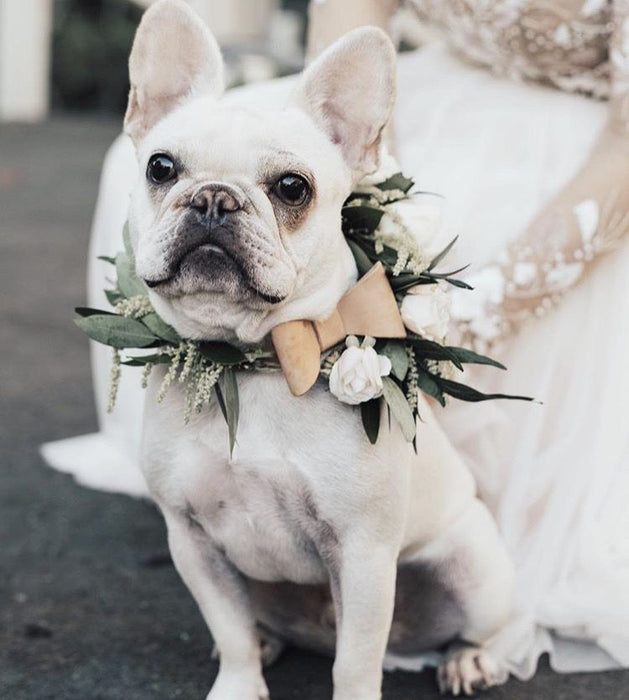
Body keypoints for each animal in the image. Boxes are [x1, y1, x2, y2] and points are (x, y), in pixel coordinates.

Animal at [124, 1, 516, 700]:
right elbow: (227, 628)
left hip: (473, 569)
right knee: (254, 623)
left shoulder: (362, 553)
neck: (250, 362)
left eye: (291, 187)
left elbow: (355, 662)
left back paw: (473, 660)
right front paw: (238, 682)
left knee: (490, 626)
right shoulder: (192, 540)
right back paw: (267, 641)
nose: (214, 197)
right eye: (161, 168)